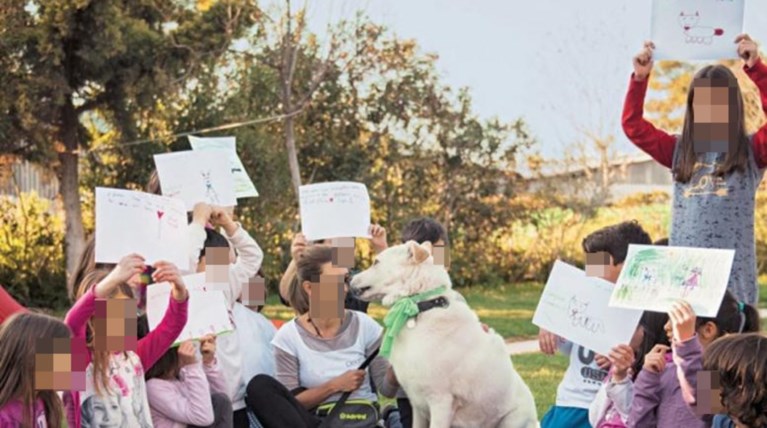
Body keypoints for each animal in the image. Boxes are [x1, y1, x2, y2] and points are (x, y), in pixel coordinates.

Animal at [352, 241, 536, 428]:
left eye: (376, 262)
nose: (349, 278)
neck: (418, 307)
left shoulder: (440, 402)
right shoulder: (417, 405)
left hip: (511, 420)